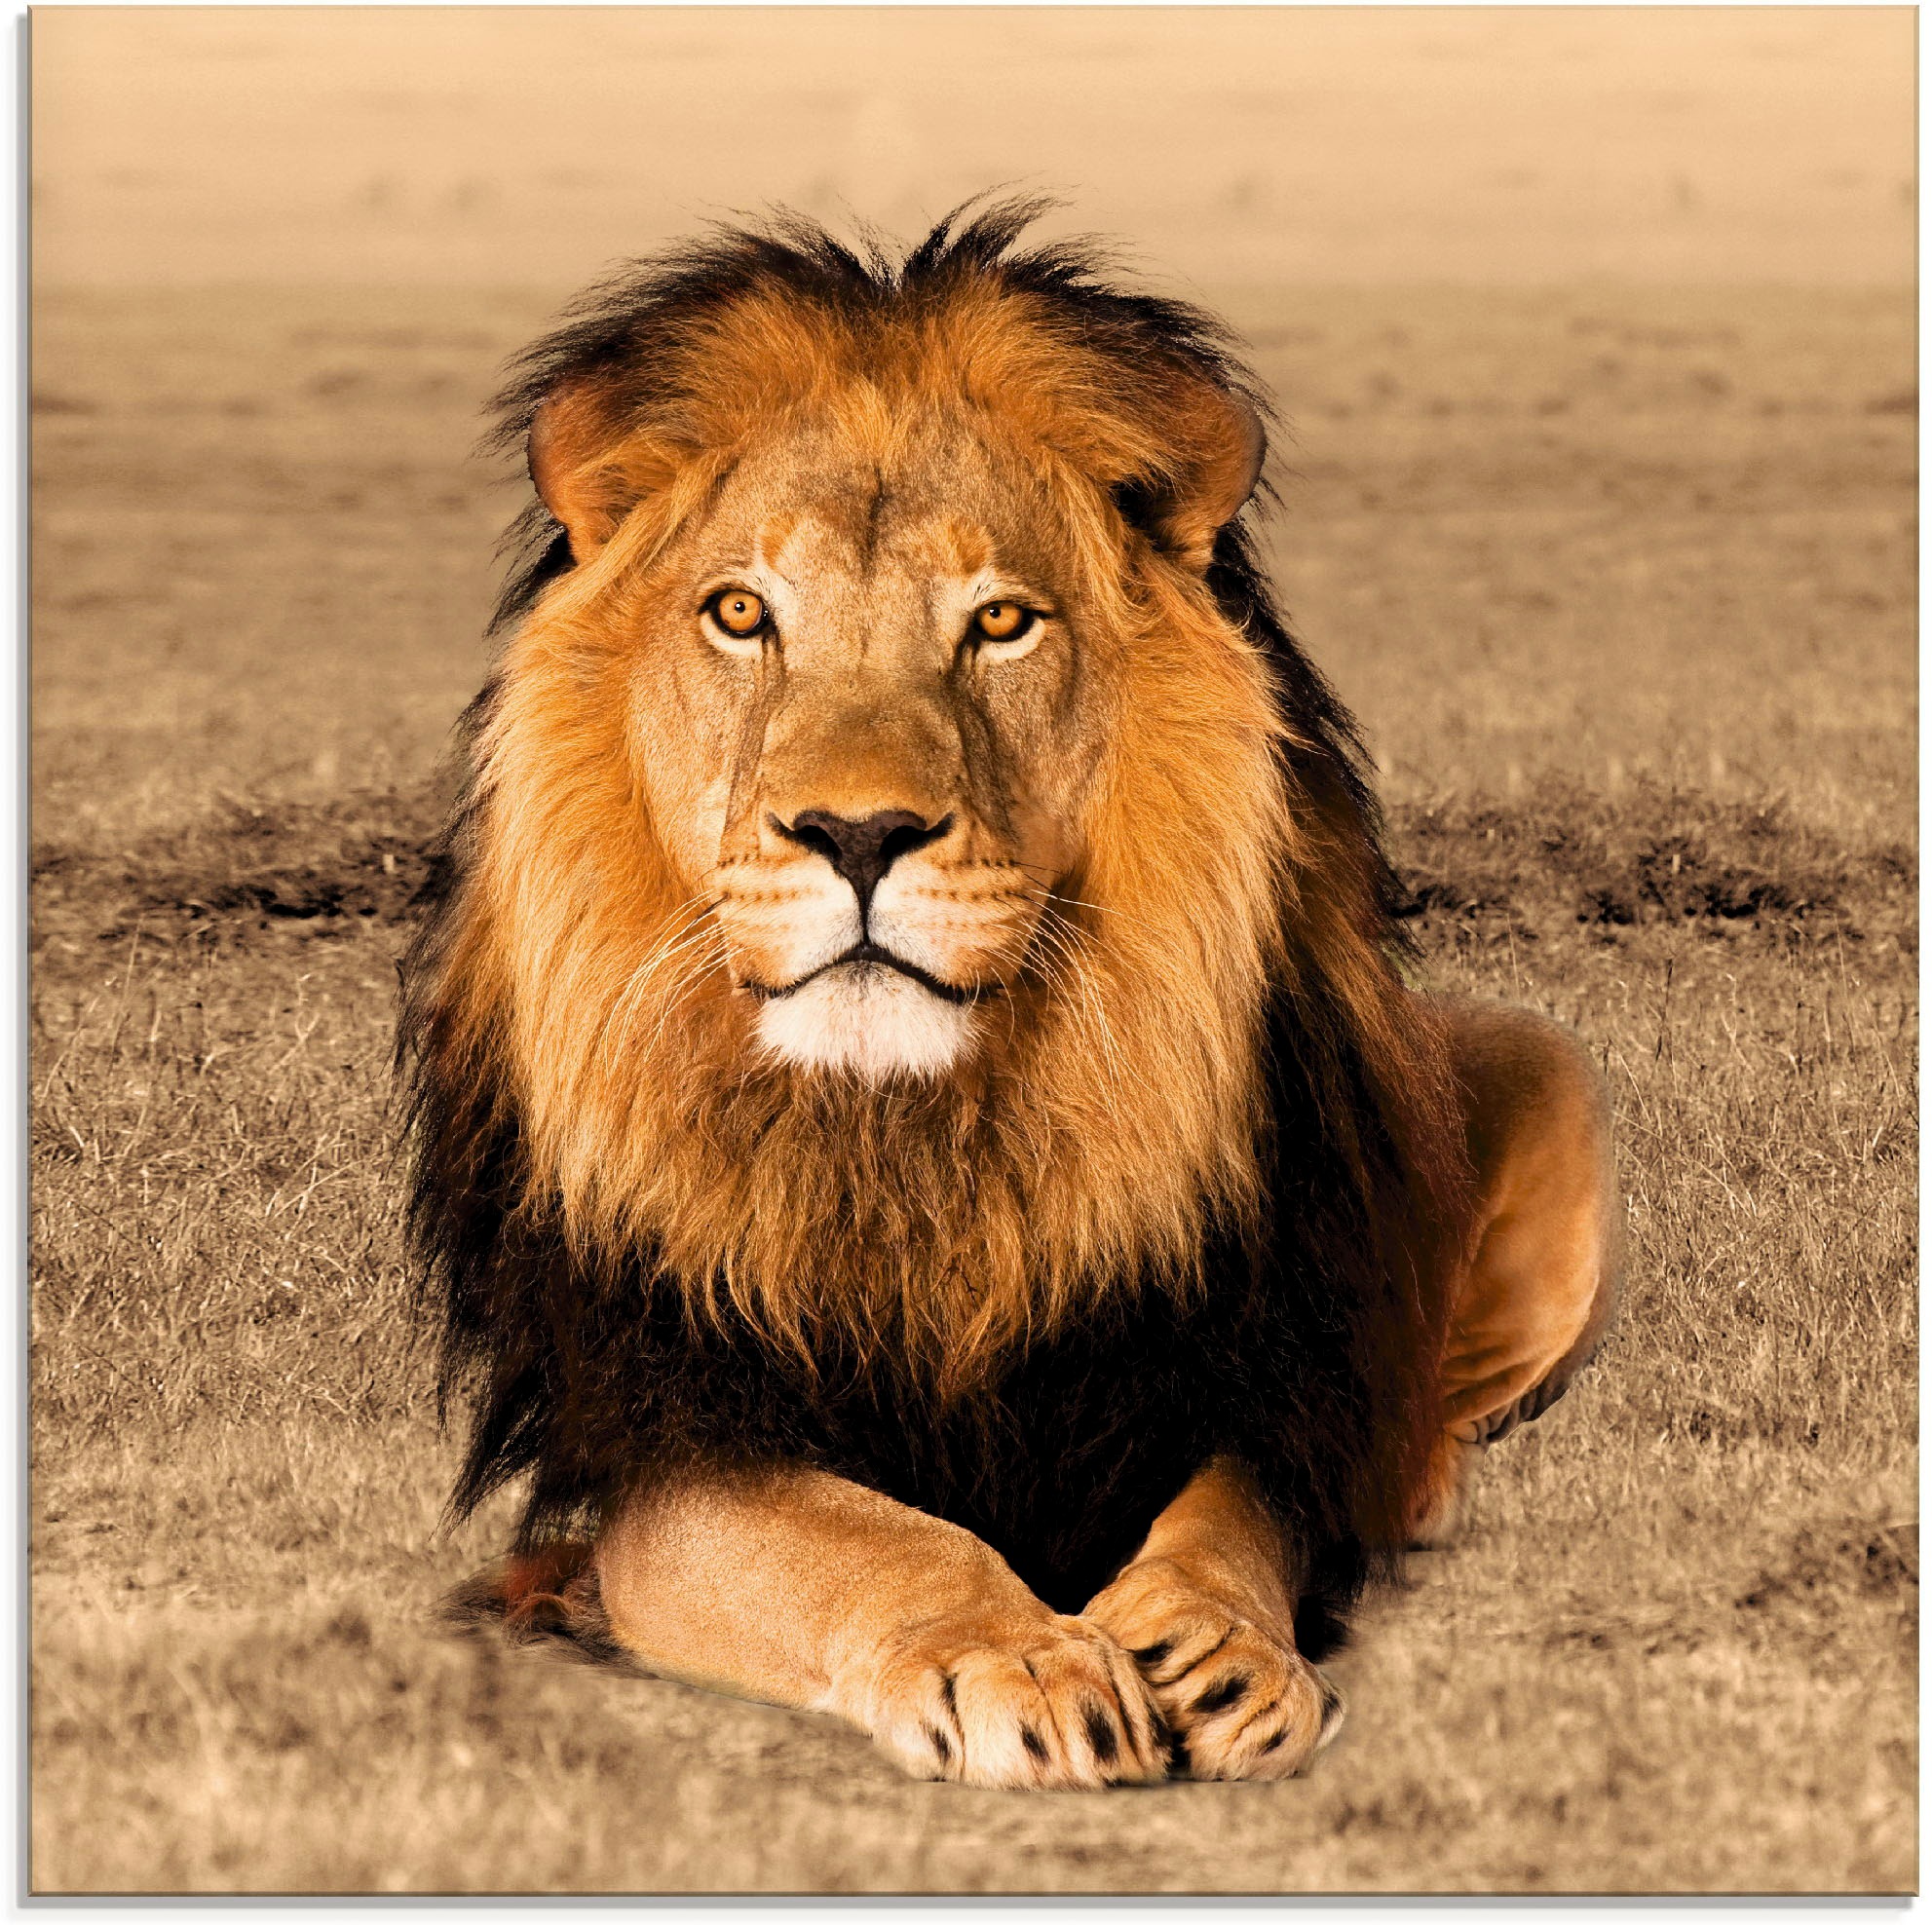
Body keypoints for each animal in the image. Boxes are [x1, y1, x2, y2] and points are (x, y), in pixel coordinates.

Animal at [401, 200, 1619, 1790]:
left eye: (998, 624)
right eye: (739, 613)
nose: (858, 833)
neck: (911, 1137)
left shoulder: (1237, 1367)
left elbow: (1234, 1515)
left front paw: (1214, 1645)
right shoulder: (667, 1433)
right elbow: (861, 1538)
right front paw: (1022, 1656)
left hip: (1546, 1072)